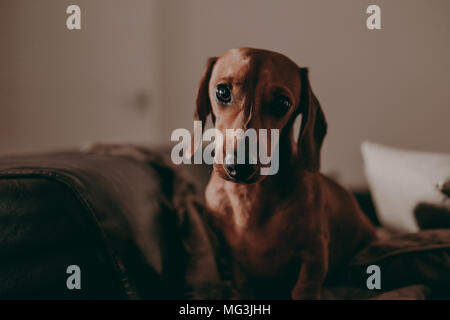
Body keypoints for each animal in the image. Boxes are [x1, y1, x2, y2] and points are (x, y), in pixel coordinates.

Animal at [193, 48, 376, 300]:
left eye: (282, 103)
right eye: (222, 91)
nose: (238, 166)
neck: (248, 198)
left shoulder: (314, 254)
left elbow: (304, 287)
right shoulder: (236, 267)